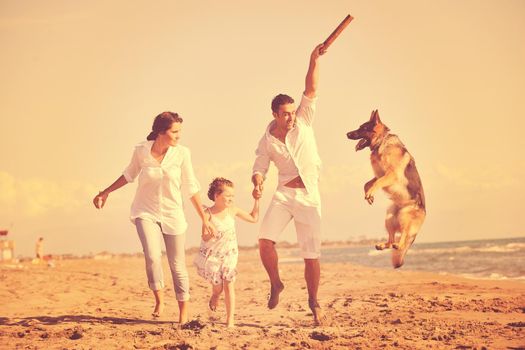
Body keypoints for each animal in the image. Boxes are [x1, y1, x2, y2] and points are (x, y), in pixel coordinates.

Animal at [346, 109, 424, 268]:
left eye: (362, 128)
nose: (346, 134)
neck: (381, 142)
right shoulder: (380, 174)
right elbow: (367, 183)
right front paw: (369, 196)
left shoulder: (390, 174)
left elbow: (376, 183)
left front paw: (370, 193)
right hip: (389, 217)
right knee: (392, 239)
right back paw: (383, 245)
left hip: (404, 216)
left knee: (402, 239)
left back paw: (397, 245)